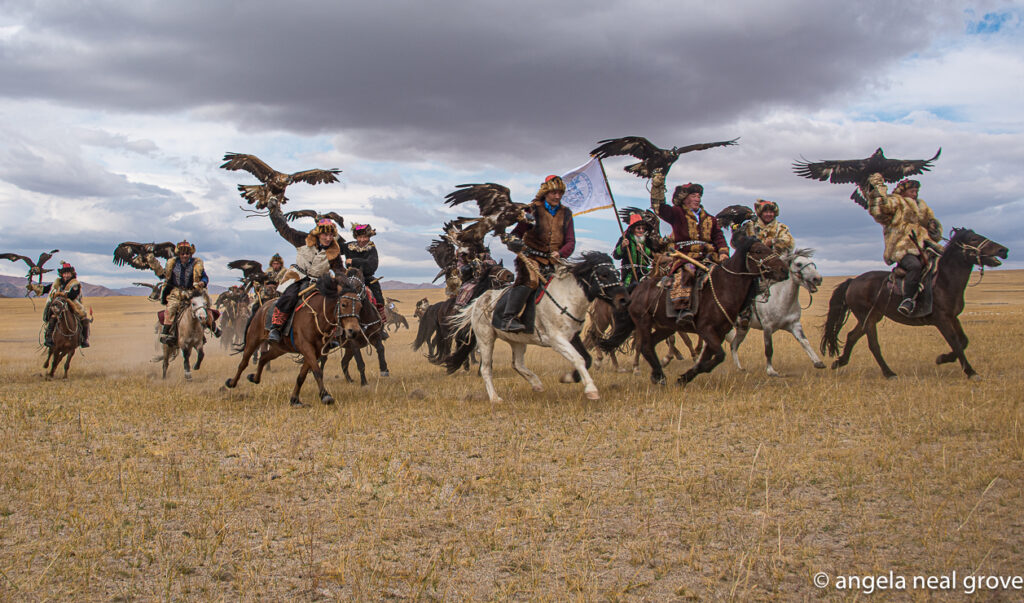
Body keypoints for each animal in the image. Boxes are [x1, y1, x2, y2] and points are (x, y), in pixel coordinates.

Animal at [225, 274, 364, 405]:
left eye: (360, 306)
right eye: (344, 304)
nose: (354, 331)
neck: (317, 315)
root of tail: (261, 308)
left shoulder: (315, 351)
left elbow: (302, 376)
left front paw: (295, 399)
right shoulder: (306, 347)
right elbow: (317, 371)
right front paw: (325, 396)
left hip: (280, 348)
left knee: (263, 358)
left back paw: (254, 378)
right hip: (253, 339)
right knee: (243, 363)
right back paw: (231, 383)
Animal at [444, 251, 626, 401]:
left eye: (617, 273)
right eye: (603, 274)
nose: (623, 299)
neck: (566, 297)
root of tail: (478, 301)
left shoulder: (573, 336)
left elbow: (586, 359)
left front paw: (568, 378)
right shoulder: (557, 340)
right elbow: (578, 359)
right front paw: (591, 390)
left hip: (517, 340)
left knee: (517, 364)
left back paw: (536, 384)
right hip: (486, 339)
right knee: (486, 369)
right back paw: (495, 398)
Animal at [602, 232, 786, 382]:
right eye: (758, 251)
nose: (783, 269)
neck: (724, 287)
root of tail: (636, 289)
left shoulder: (718, 333)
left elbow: (711, 356)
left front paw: (688, 375)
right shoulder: (706, 329)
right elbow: (718, 354)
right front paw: (690, 372)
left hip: (665, 327)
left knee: (651, 344)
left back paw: (657, 372)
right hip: (644, 322)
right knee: (645, 346)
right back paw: (658, 375)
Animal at [729, 246, 823, 374]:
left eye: (812, 264)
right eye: (799, 264)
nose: (817, 279)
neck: (780, 298)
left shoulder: (794, 325)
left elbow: (805, 342)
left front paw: (818, 362)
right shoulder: (767, 327)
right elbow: (769, 349)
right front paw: (770, 371)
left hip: (742, 329)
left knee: (733, 345)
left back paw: (739, 369)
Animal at [823, 228, 1007, 378]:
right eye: (974, 239)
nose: (1003, 250)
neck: (944, 281)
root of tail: (853, 281)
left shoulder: (953, 317)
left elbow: (963, 341)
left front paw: (942, 358)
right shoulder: (941, 319)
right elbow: (955, 342)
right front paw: (970, 372)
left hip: (872, 316)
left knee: (852, 336)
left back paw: (840, 362)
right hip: (866, 317)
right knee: (873, 344)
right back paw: (889, 373)